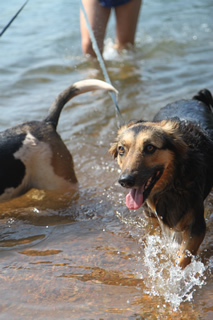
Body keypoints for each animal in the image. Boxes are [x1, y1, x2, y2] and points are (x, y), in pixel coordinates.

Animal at [110, 89, 213, 268]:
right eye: (122, 149)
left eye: (150, 147)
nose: (125, 181)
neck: (171, 186)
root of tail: (193, 98)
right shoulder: (152, 218)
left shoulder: (196, 226)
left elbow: (182, 259)